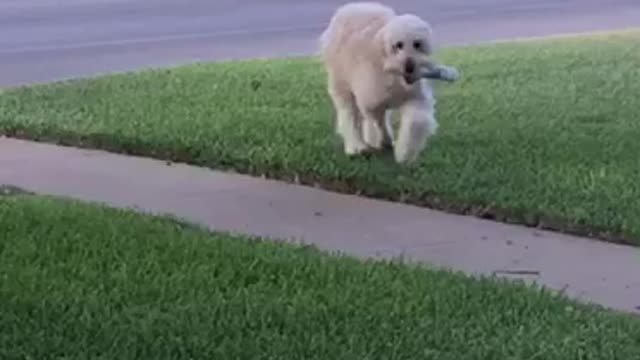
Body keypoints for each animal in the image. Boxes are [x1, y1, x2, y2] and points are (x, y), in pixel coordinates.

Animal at [318, 1, 452, 163]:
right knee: (349, 114)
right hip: (341, 82)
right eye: (398, 45)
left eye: (417, 44)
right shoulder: (371, 98)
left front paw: (404, 154)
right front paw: (379, 140)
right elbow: (375, 119)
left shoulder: (415, 98)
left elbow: (415, 121)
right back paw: (356, 146)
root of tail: (352, 6)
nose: (409, 66)